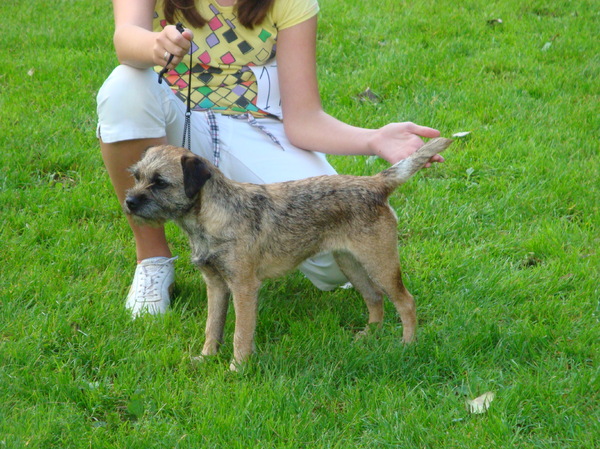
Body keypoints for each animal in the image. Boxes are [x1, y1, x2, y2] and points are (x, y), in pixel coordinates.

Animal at [124, 137, 452, 370]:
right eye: (136, 176)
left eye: (160, 183)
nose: (129, 201)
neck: (211, 216)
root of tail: (375, 183)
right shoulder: (215, 285)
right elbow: (212, 326)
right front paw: (206, 358)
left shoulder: (244, 288)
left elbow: (240, 333)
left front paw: (237, 367)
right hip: (350, 263)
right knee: (374, 297)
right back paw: (370, 334)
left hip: (380, 263)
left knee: (406, 302)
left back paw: (407, 344)